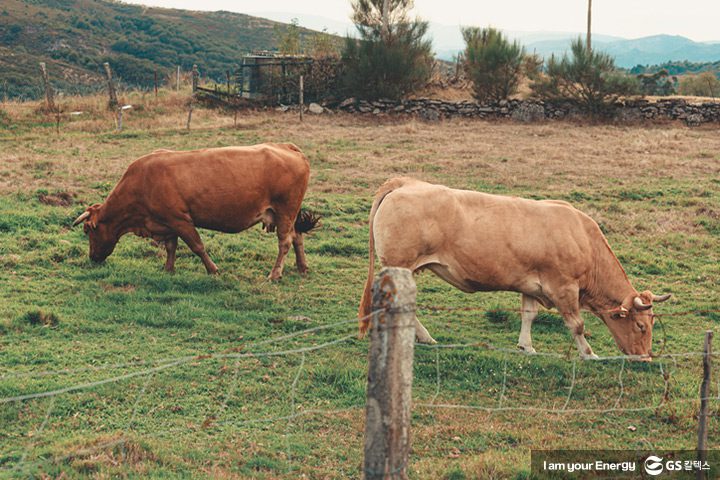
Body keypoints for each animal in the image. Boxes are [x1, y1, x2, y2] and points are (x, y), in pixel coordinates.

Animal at [74, 142, 320, 280]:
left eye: (88, 230)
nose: (92, 257)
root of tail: (287, 147)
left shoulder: (180, 220)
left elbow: (197, 246)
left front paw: (213, 270)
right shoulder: (166, 222)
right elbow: (171, 247)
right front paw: (168, 269)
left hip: (285, 210)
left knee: (285, 242)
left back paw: (275, 274)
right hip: (288, 214)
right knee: (297, 236)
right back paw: (302, 267)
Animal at [358, 179, 672, 360]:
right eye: (641, 326)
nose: (646, 357)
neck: (583, 238)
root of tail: (404, 183)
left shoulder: (531, 284)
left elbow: (528, 314)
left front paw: (526, 346)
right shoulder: (564, 287)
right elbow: (577, 324)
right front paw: (589, 354)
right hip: (400, 265)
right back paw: (421, 336)